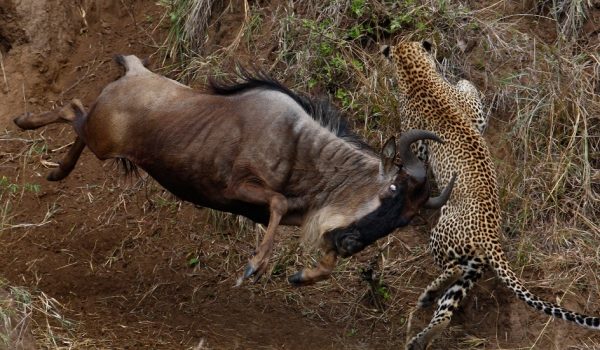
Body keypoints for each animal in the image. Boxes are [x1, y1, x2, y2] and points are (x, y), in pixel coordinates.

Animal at [382, 40, 596, 348]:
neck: (418, 75)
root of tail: (491, 238)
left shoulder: (418, 144)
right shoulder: (474, 115)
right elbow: (472, 103)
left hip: (444, 239)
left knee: (451, 271)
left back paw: (426, 298)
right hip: (472, 269)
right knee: (446, 310)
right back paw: (421, 333)